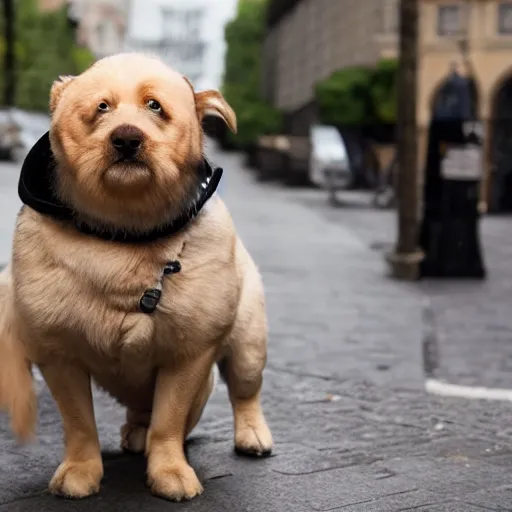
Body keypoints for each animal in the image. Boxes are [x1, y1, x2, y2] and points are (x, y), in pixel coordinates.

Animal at [0, 54, 272, 502]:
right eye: (101, 108)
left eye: (155, 107)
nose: (126, 138)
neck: (126, 234)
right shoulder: (57, 354)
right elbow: (79, 423)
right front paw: (82, 470)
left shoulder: (189, 354)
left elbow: (169, 421)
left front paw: (169, 471)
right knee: (141, 408)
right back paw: (135, 430)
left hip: (249, 344)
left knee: (244, 391)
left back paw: (252, 434)